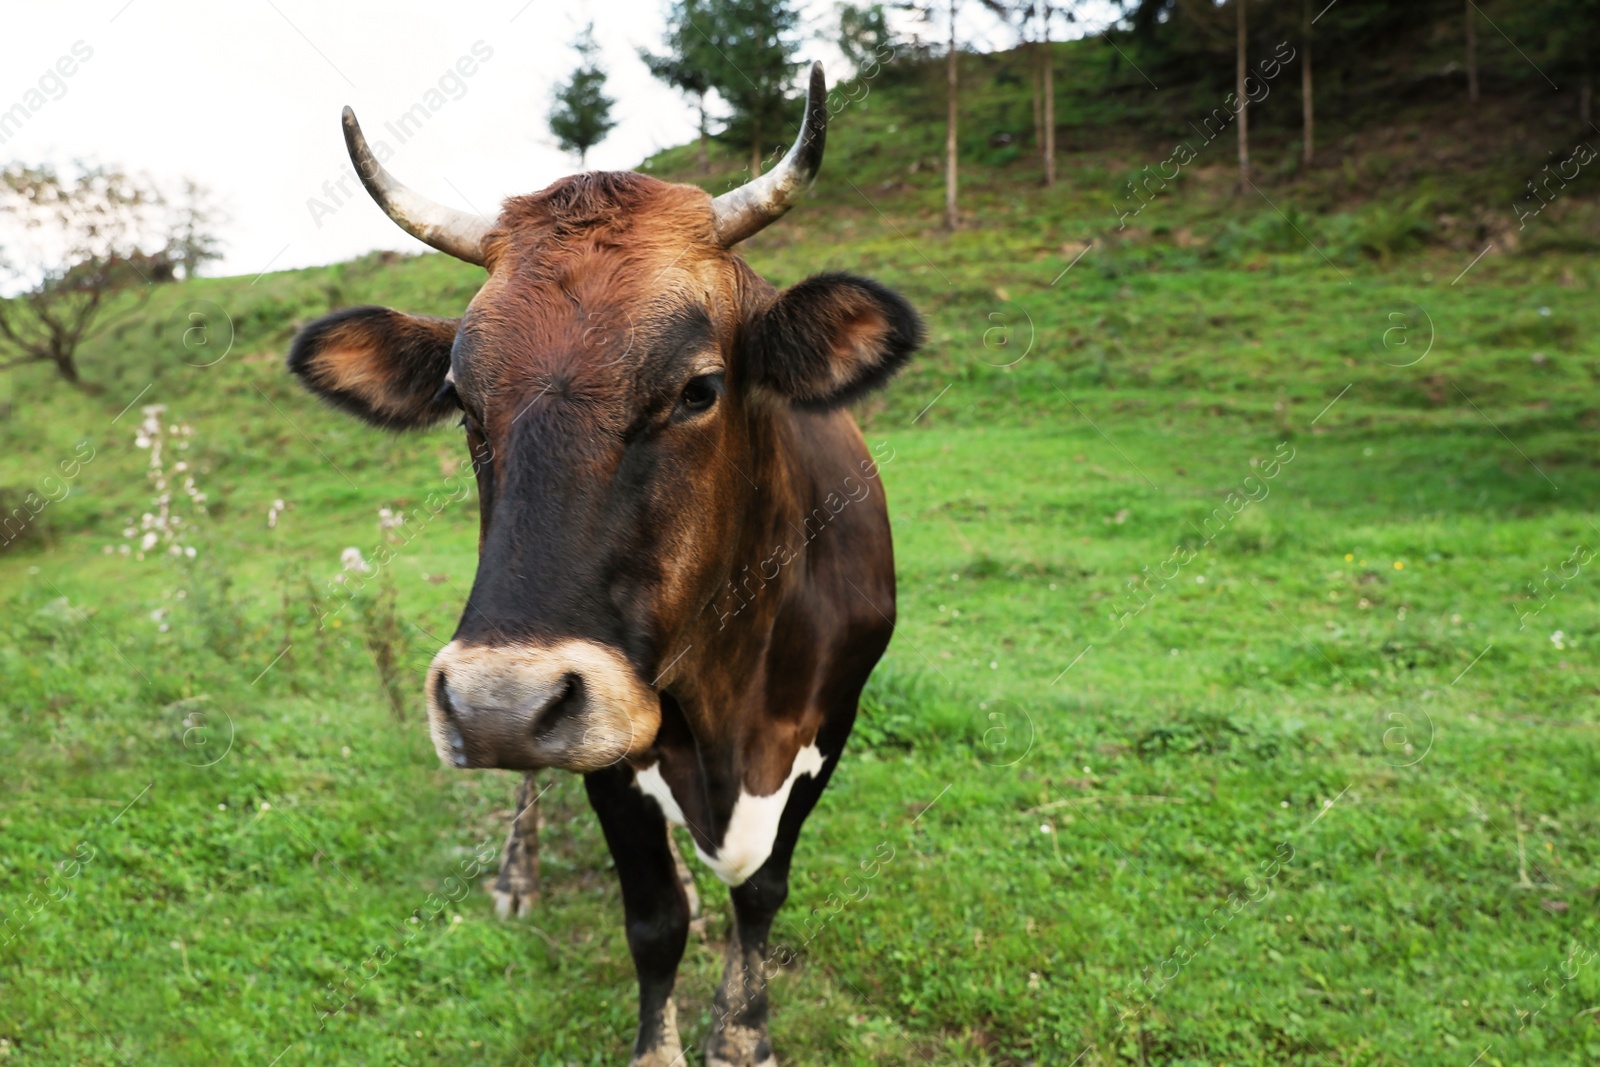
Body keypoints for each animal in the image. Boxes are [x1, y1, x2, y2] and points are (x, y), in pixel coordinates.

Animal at [281, 62, 921, 1062]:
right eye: (462, 399)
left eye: (700, 387)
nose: (498, 702)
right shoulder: (609, 742)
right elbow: (652, 920)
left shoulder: (830, 724)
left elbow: (761, 890)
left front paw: (743, 1029)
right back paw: (517, 871)